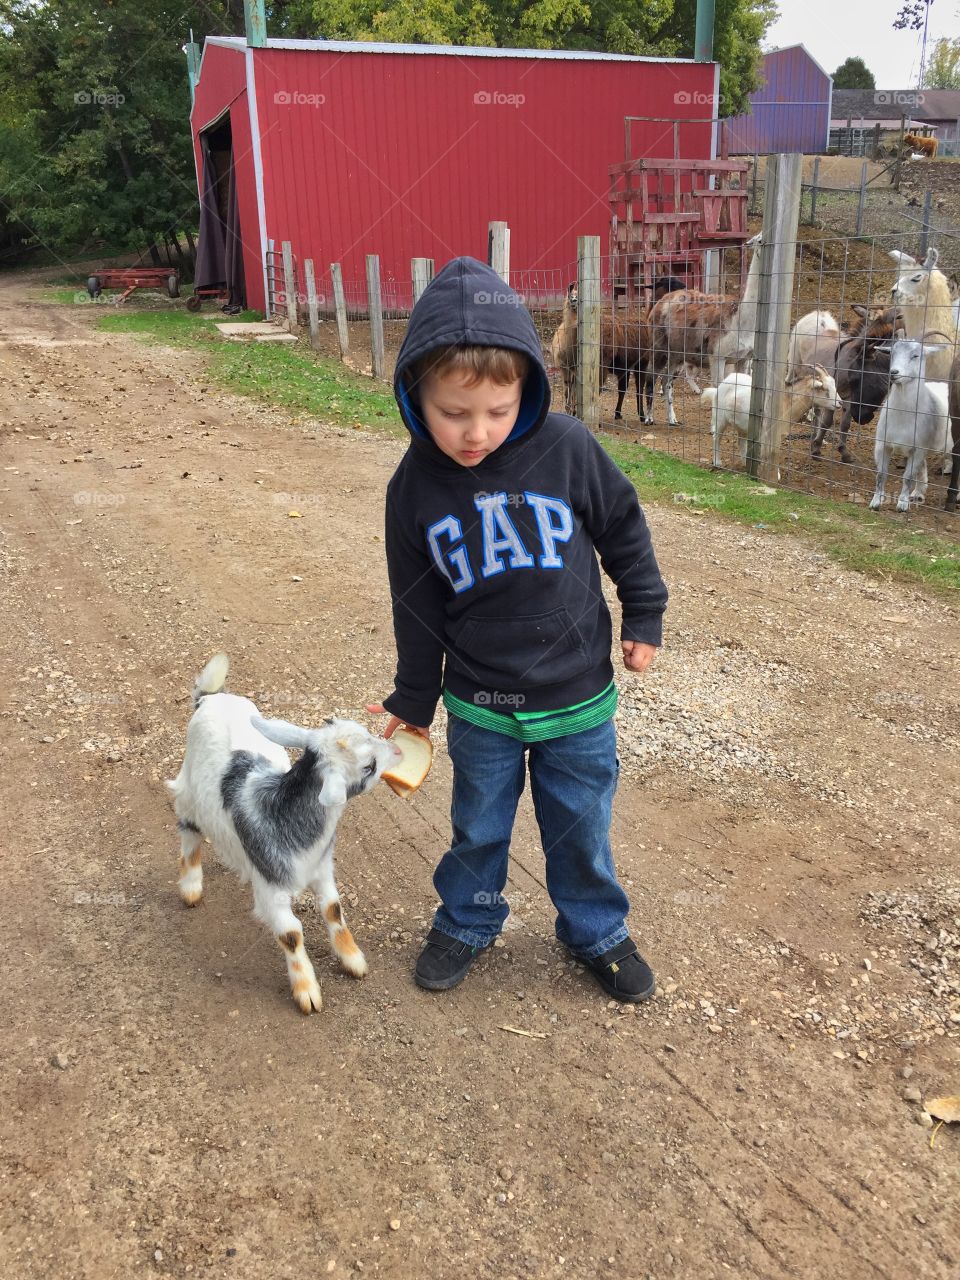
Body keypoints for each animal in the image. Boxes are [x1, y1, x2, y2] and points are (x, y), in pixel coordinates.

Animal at [167, 655, 399, 1013]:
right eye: (369, 767)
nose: (398, 750)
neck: (285, 815)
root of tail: (210, 699)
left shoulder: (321, 868)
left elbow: (333, 908)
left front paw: (352, 959)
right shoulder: (271, 888)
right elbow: (291, 934)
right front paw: (307, 991)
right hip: (189, 793)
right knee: (189, 833)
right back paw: (191, 888)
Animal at [706, 366, 839, 476]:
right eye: (825, 389)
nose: (840, 403)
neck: (785, 403)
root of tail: (725, 381)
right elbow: (771, 452)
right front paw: (772, 473)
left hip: (743, 425)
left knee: (741, 441)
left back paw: (745, 462)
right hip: (720, 417)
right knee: (716, 437)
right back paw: (717, 462)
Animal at [870, 343, 957, 517]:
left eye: (916, 356)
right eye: (892, 353)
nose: (894, 372)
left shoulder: (918, 448)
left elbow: (908, 477)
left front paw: (902, 504)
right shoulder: (883, 444)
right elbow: (881, 474)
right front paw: (876, 502)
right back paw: (918, 492)